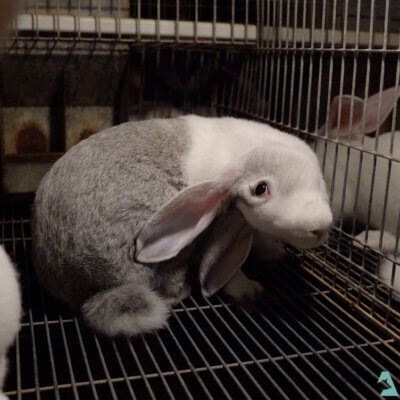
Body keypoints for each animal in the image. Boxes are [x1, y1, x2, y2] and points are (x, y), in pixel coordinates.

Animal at [32, 115, 332, 338]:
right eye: (260, 189)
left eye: (320, 180)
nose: (318, 227)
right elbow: (225, 268)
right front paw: (249, 291)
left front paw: (274, 253)